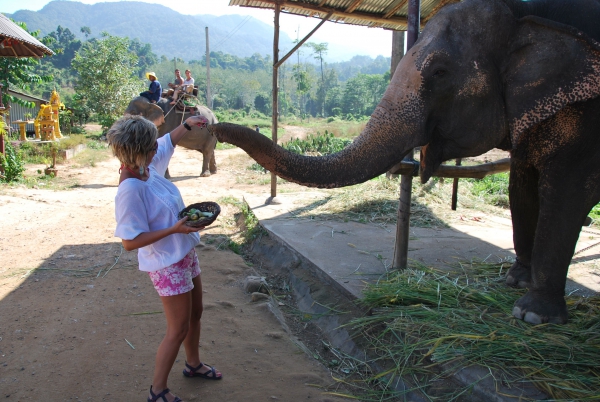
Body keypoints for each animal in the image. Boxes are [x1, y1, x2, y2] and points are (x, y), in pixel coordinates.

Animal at [210, 0, 600, 326]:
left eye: (440, 72)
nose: (215, 128)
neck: (526, 12)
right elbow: (521, 185)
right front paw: (515, 279)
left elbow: (566, 192)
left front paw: (532, 316)